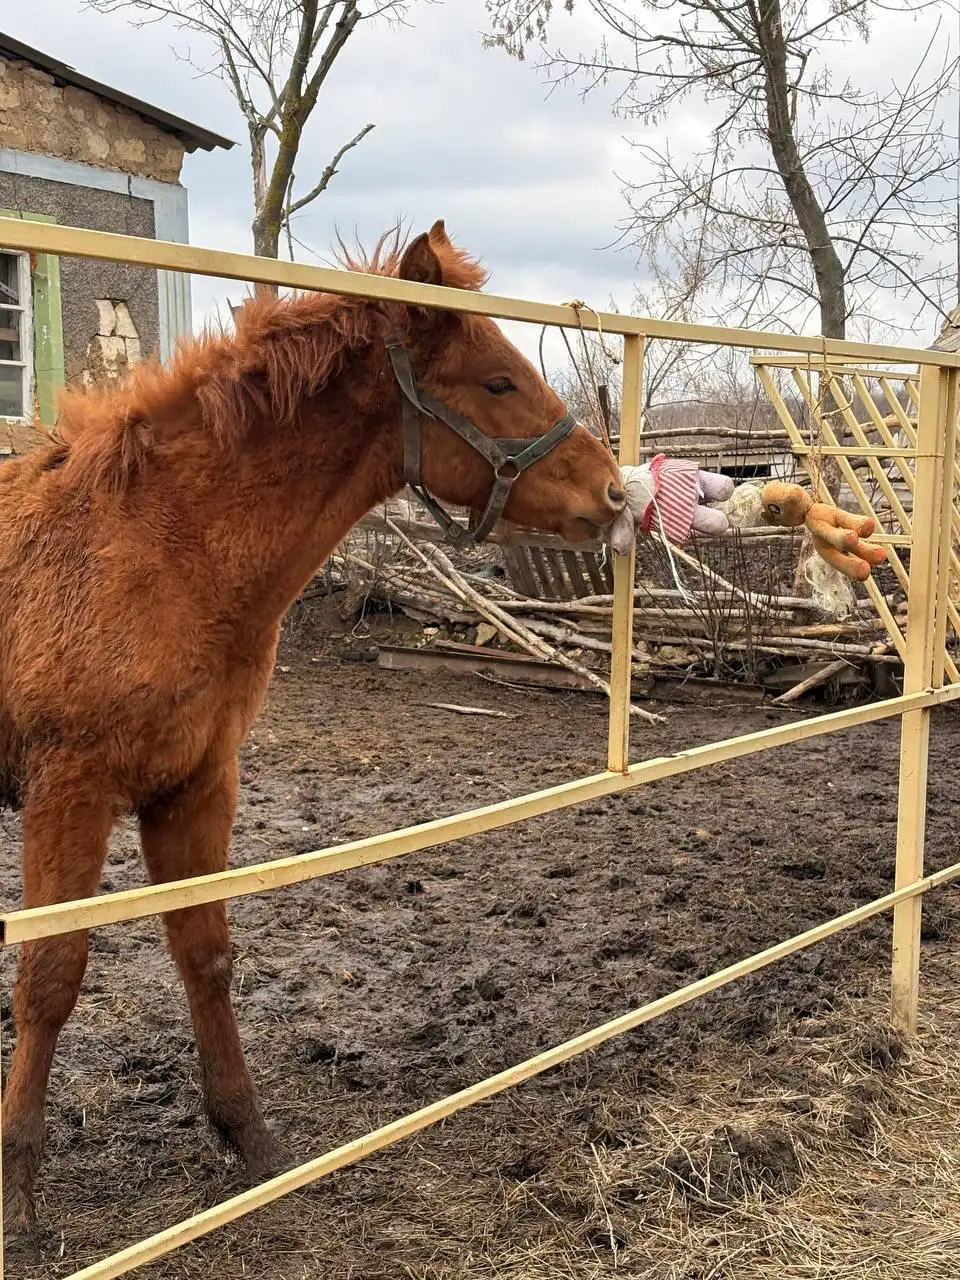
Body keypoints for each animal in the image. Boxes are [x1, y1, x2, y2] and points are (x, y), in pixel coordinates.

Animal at [0, 219, 626, 1240]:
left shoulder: (196, 785)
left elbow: (205, 954)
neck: (156, 545)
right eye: (497, 381)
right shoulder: (71, 792)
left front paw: (248, 1137)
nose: (616, 494)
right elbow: (50, 974)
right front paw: (17, 1183)